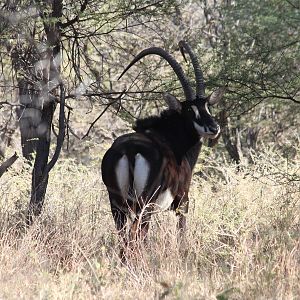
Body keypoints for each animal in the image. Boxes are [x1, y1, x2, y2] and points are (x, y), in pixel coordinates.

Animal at [101, 40, 225, 251]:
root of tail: (130, 150)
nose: (214, 128)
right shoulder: (183, 201)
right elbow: (182, 233)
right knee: (137, 237)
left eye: (207, 106)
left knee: (125, 241)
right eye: (189, 111)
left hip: (117, 205)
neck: (171, 139)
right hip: (145, 206)